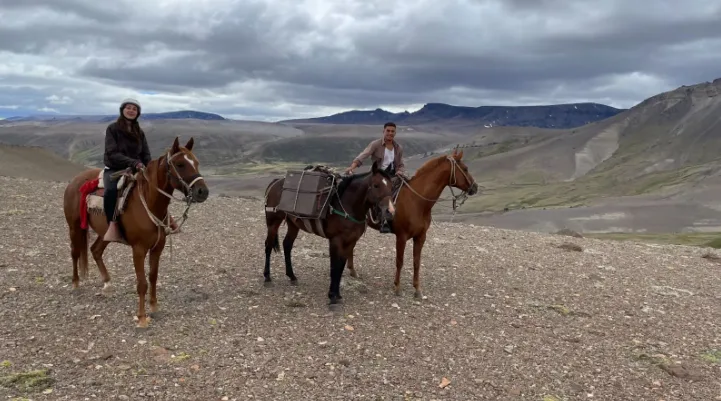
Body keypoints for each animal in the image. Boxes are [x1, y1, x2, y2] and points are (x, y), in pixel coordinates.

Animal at [62, 137, 209, 328]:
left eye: (196, 162)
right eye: (180, 164)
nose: (202, 191)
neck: (149, 202)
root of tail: (75, 181)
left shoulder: (158, 248)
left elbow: (153, 277)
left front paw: (154, 307)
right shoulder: (138, 250)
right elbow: (142, 283)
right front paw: (142, 317)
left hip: (105, 233)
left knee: (95, 250)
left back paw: (108, 284)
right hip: (74, 227)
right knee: (74, 252)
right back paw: (75, 283)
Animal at [263, 161, 394, 309]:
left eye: (391, 186)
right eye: (376, 185)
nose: (389, 211)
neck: (347, 205)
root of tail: (276, 182)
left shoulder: (351, 241)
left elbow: (341, 266)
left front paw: (338, 295)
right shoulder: (335, 240)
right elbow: (334, 267)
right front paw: (332, 296)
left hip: (293, 224)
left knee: (287, 245)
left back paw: (292, 276)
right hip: (273, 222)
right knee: (268, 245)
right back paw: (267, 277)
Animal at [346, 148, 478, 298]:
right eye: (465, 168)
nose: (475, 187)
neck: (417, 201)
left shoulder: (420, 237)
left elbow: (416, 262)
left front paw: (417, 289)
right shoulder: (401, 237)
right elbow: (400, 261)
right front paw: (397, 287)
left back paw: (353, 271)